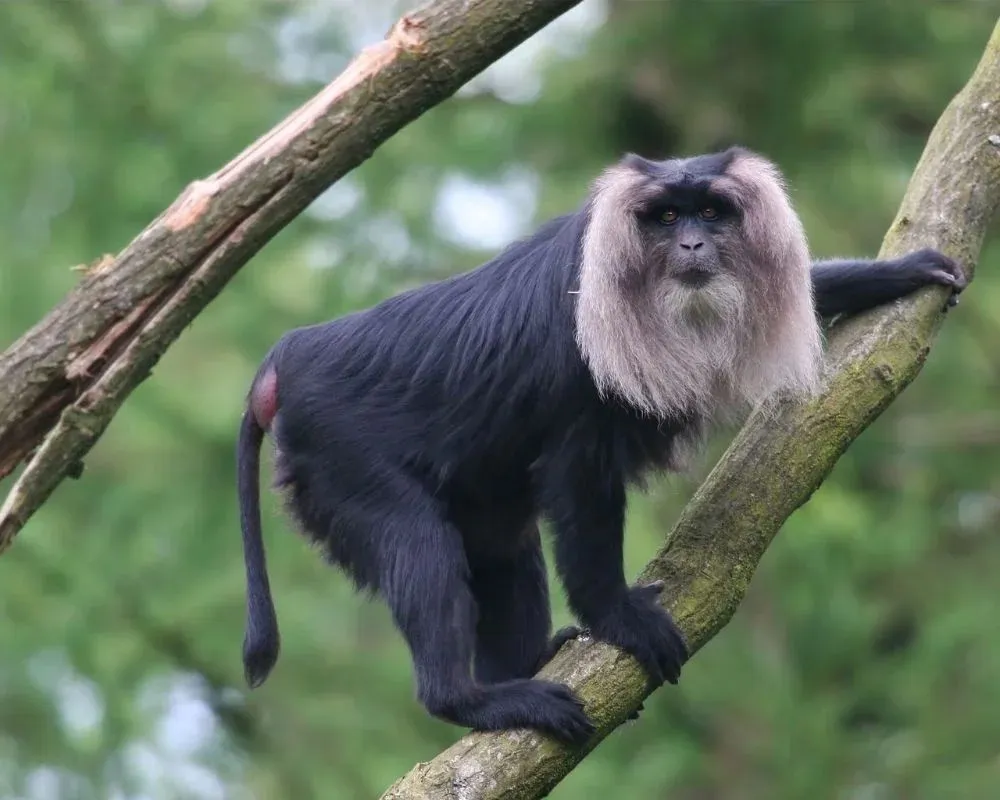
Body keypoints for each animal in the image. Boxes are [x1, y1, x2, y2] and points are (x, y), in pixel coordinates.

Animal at [235, 146, 964, 745]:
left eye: (711, 212)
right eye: (666, 217)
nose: (693, 243)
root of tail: (287, 358)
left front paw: (896, 273)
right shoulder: (582, 392)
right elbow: (580, 494)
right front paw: (618, 618)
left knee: (502, 547)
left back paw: (523, 666)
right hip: (343, 459)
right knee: (421, 548)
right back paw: (470, 700)